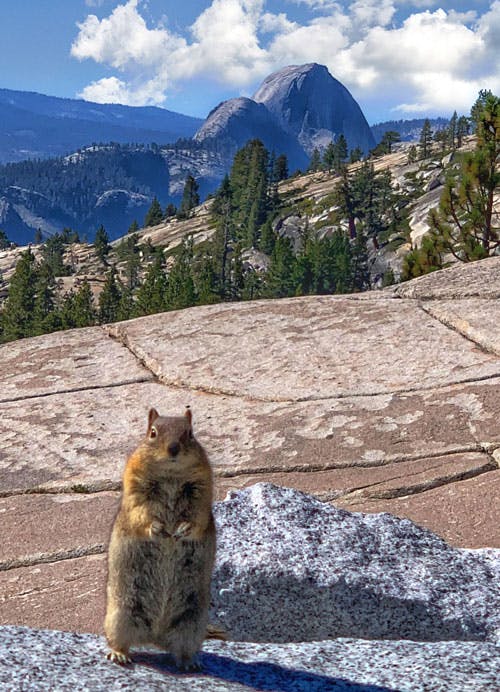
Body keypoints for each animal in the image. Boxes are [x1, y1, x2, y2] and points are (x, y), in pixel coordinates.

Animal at [103, 406, 221, 672]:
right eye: (153, 433)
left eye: (190, 433)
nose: (173, 449)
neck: (171, 476)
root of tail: (155, 636)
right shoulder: (136, 489)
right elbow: (142, 513)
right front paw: (158, 529)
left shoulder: (202, 491)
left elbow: (197, 516)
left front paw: (182, 529)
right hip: (120, 616)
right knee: (119, 640)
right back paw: (119, 655)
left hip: (191, 625)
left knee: (184, 650)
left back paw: (190, 663)